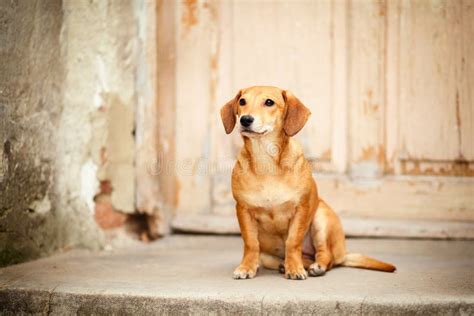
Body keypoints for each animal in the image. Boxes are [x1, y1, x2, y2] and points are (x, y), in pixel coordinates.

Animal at [220, 86, 394, 278]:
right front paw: (246, 267)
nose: (245, 120)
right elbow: (251, 243)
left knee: (327, 256)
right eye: (242, 101)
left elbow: (292, 242)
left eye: (269, 102)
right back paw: (288, 264)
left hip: (321, 219)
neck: (266, 161)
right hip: (267, 256)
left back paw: (316, 266)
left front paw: (295, 268)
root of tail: (343, 253)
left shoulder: (301, 209)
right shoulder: (244, 210)